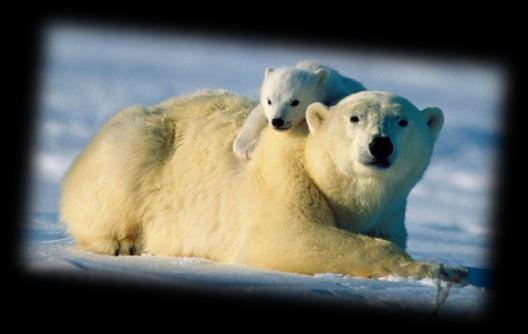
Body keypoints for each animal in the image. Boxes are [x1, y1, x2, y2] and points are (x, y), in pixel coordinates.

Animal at [60, 89, 466, 282]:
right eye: (354, 118)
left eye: (403, 121)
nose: (380, 144)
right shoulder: (285, 178)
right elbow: (289, 235)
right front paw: (443, 269)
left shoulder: (390, 211)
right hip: (141, 142)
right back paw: (120, 242)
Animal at [233, 61, 366, 160]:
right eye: (269, 101)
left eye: (295, 102)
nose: (277, 121)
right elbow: (257, 113)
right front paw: (243, 148)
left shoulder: (338, 90)